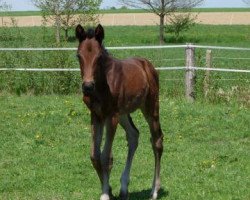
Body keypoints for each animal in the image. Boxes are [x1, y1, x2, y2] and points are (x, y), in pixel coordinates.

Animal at [75, 24, 163, 199]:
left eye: (99, 57)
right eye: (78, 56)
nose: (87, 86)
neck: (102, 84)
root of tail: (147, 64)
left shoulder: (111, 116)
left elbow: (105, 157)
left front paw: (105, 194)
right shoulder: (96, 115)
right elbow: (94, 155)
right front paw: (108, 189)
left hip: (150, 107)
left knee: (157, 140)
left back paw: (154, 190)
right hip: (123, 113)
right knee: (134, 135)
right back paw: (124, 187)